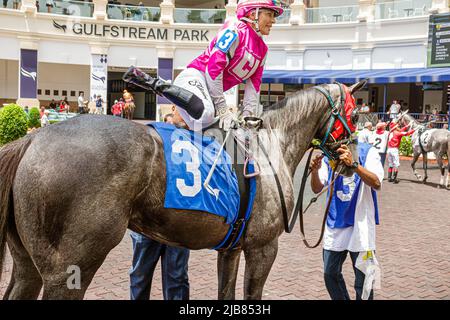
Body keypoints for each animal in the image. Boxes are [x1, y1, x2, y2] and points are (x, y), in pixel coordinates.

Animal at [0, 80, 366, 300]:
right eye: (353, 113)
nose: (353, 159)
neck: (269, 147)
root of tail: (32, 138)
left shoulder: (231, 249)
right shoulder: (263, 247)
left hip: (28, 263)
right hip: (69, 269)